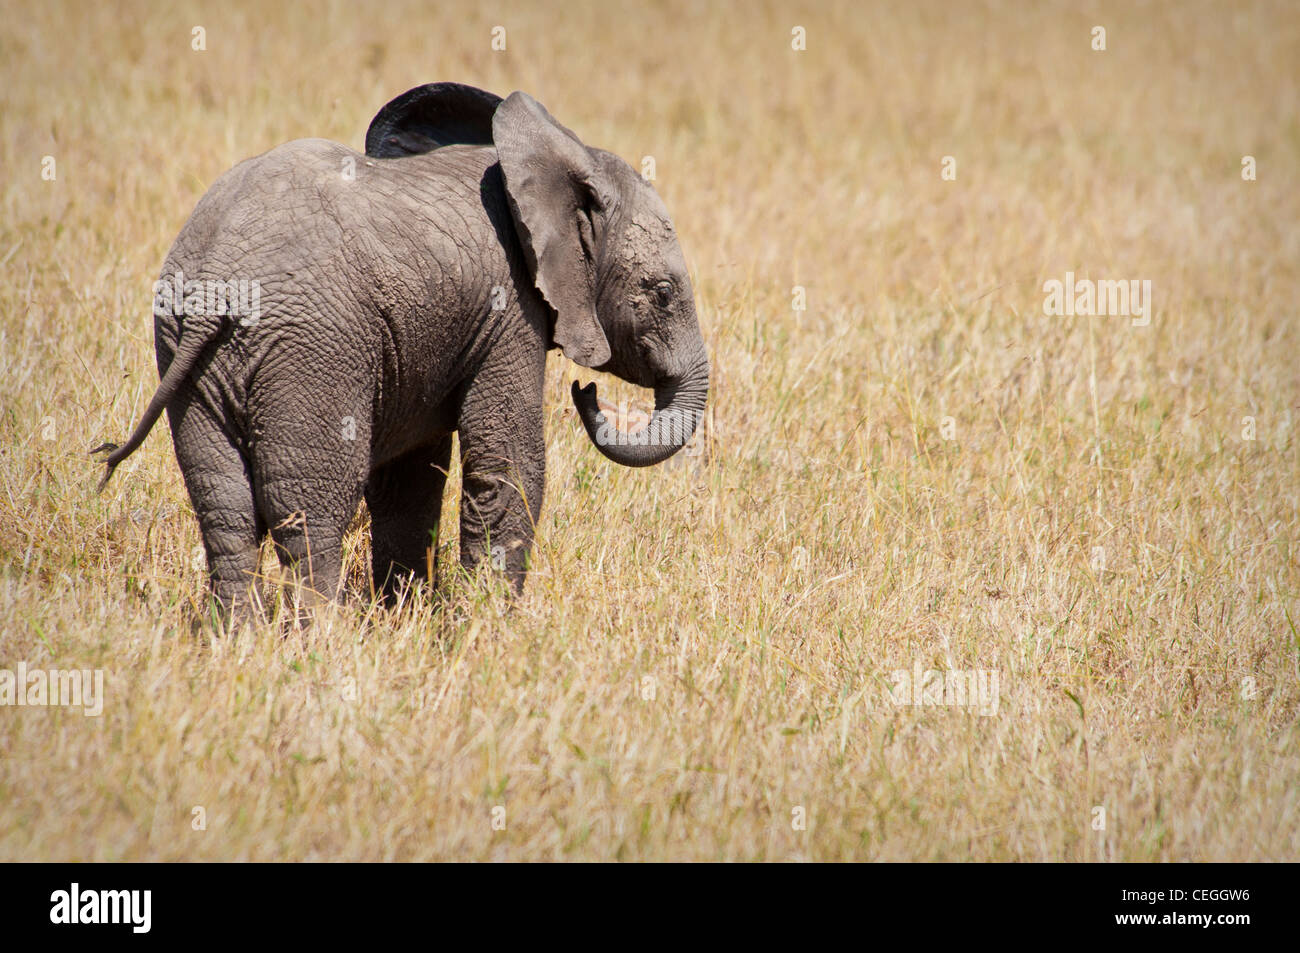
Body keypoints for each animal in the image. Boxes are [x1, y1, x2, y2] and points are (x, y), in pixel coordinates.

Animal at [96, 79, 712, 616]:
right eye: (662, 293)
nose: (586, 393)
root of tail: (220, 276)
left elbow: (410, 478)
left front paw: (405, 615)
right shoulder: (510, 308)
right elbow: (506, 462)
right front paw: (488, 628)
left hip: (187, 352)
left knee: (224, 509)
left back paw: (239, 640)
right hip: (313, 349)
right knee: (311, 508)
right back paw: (322, 641)